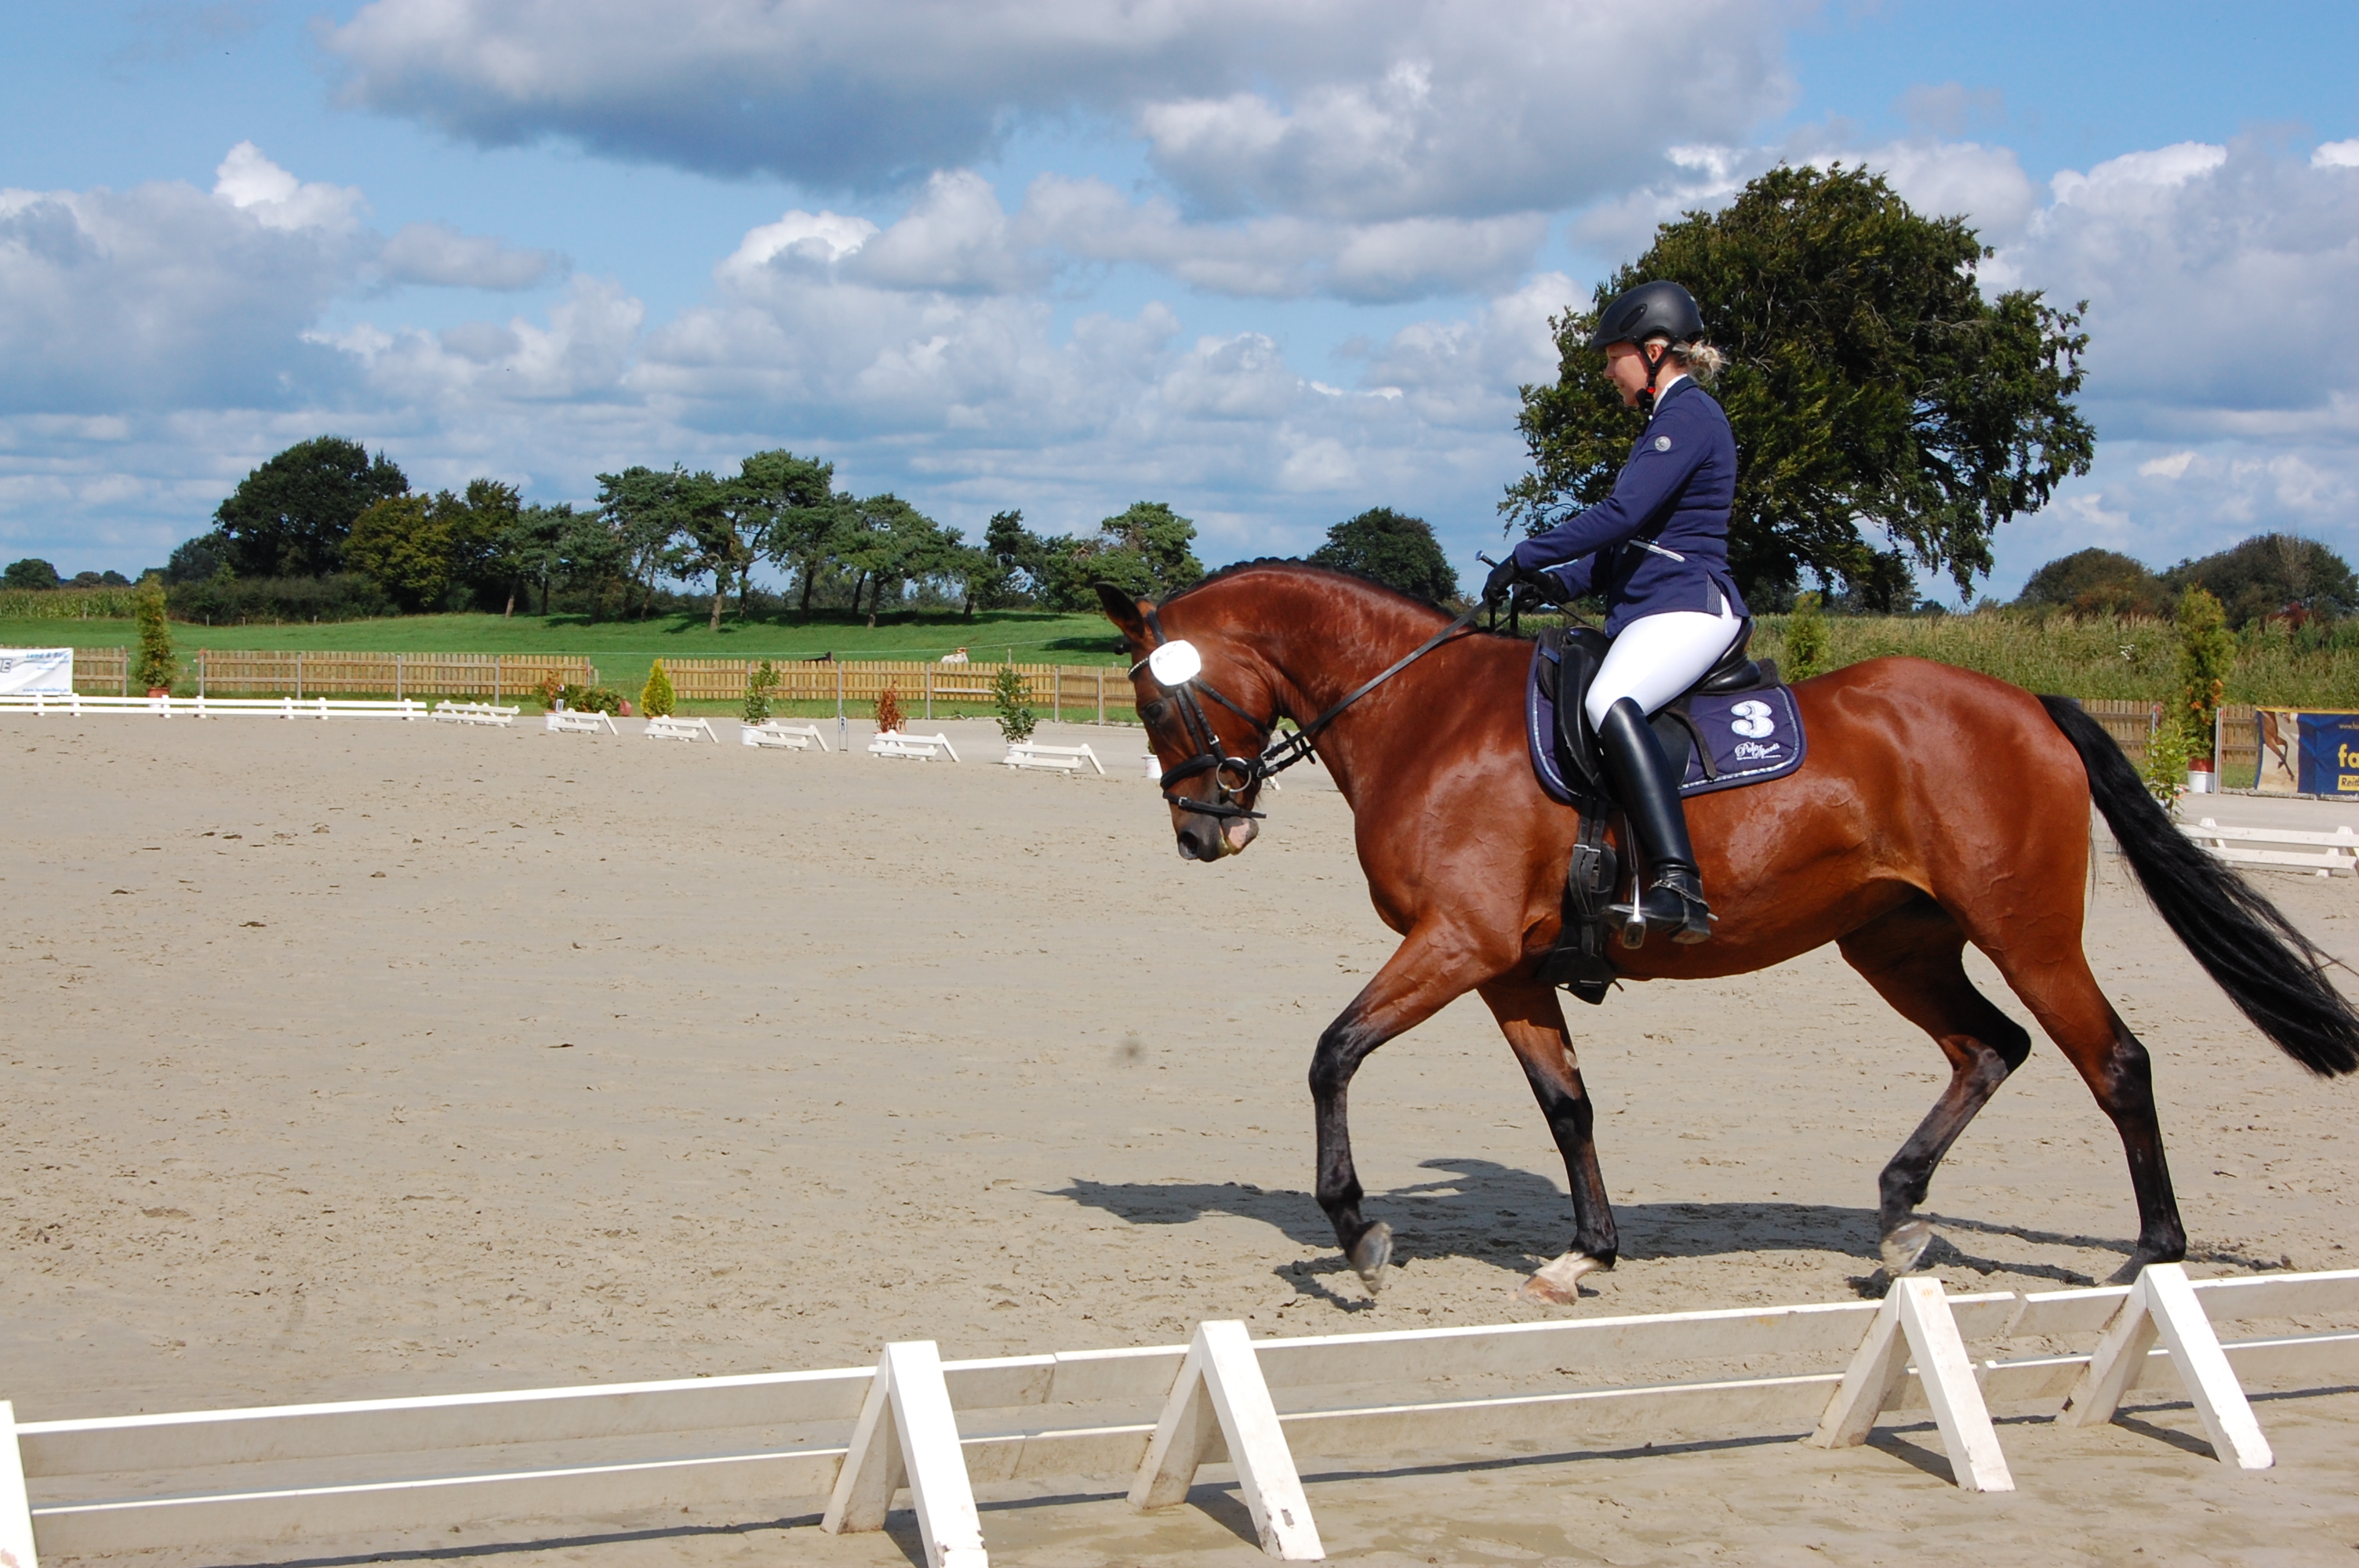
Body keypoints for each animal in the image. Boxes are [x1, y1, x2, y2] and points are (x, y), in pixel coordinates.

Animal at [1094, 568, 2349, 1301]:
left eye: (1157, 703)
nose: (1203, 833)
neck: (1423, 716)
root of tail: (2026, 704)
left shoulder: (1455, 943)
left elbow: (1332, 1053)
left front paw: (1357, 1232)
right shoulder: (1504, 966)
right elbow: (1565, 1104)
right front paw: (1586, 1251)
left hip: (2026, 931)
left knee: (2113, 1061)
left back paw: (2152, 1254)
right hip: (1895, 942)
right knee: (1988, 1048)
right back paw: (1898, 1219)